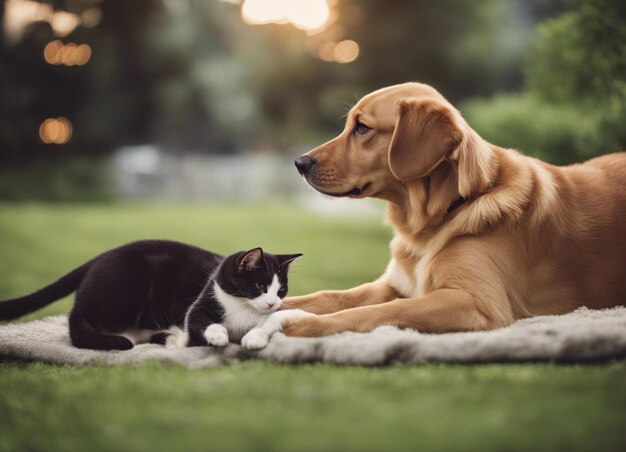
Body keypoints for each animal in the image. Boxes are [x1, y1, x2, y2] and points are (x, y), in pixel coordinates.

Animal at [0, 240, 300, 350]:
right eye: (259, 285)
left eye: (281, 290)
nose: (272, 301)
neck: (242, 308)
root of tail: (98, 259)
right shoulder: (199, 305)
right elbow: (202, 321)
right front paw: (217, 335)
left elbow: (272, 322)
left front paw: (256, 335)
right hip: (127, 288)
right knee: (77, 322)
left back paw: (167, 337)